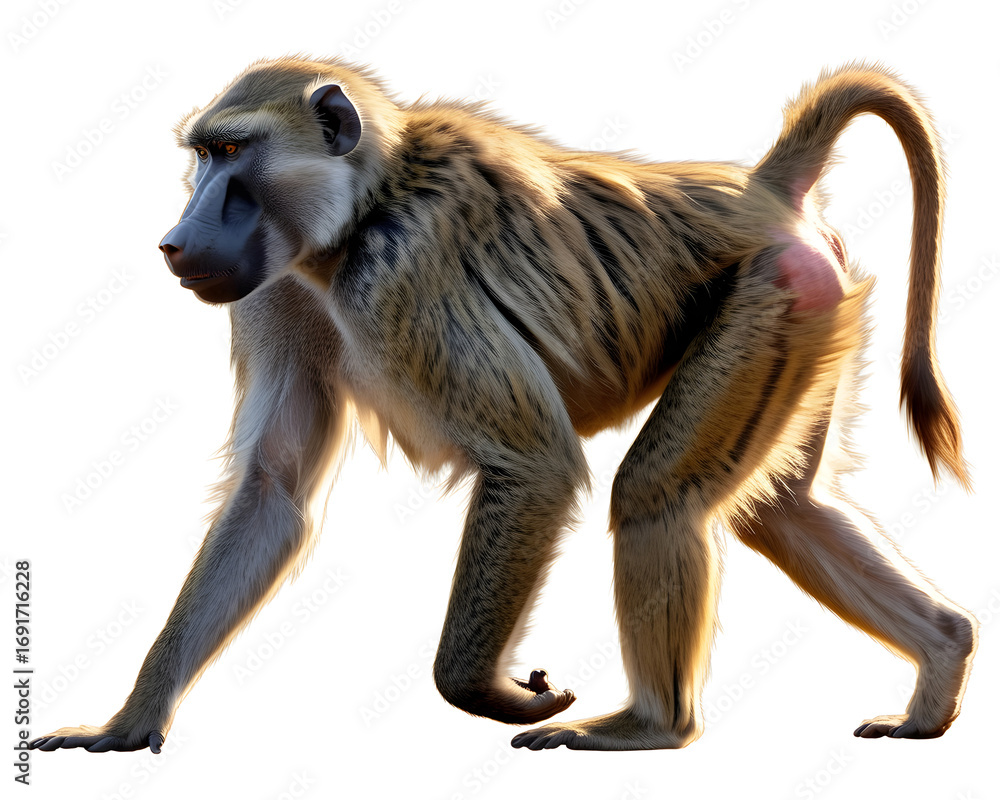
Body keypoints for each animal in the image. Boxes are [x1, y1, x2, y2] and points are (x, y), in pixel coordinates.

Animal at [30, 57, 977, 753]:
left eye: (232, 155)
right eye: (203, 155)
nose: (176, 240)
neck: (365, 204)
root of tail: (762, 192)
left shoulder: (403, 279)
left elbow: (535, 463)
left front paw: (482, 688)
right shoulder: (279, 292)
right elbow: (274, 489)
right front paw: (130, 721)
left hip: (777, 295)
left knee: (657, 498)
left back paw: (651, 728)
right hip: (810, 314)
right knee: (784, 510)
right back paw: (943, 659)